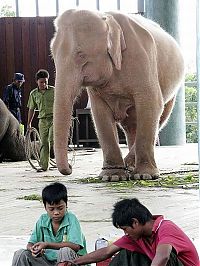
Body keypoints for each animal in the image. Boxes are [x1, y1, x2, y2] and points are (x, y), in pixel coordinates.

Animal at [51, 9, 184, 181]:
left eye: (81, 55)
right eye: (53, 56)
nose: (70, 167)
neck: (106, 19)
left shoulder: (142, 60)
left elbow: (151, 104)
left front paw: (145, 175)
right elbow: (100, 114)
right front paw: (112, 176)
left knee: (160, 116)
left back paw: (133, 167)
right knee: (131, 124)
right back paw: (129, 166)